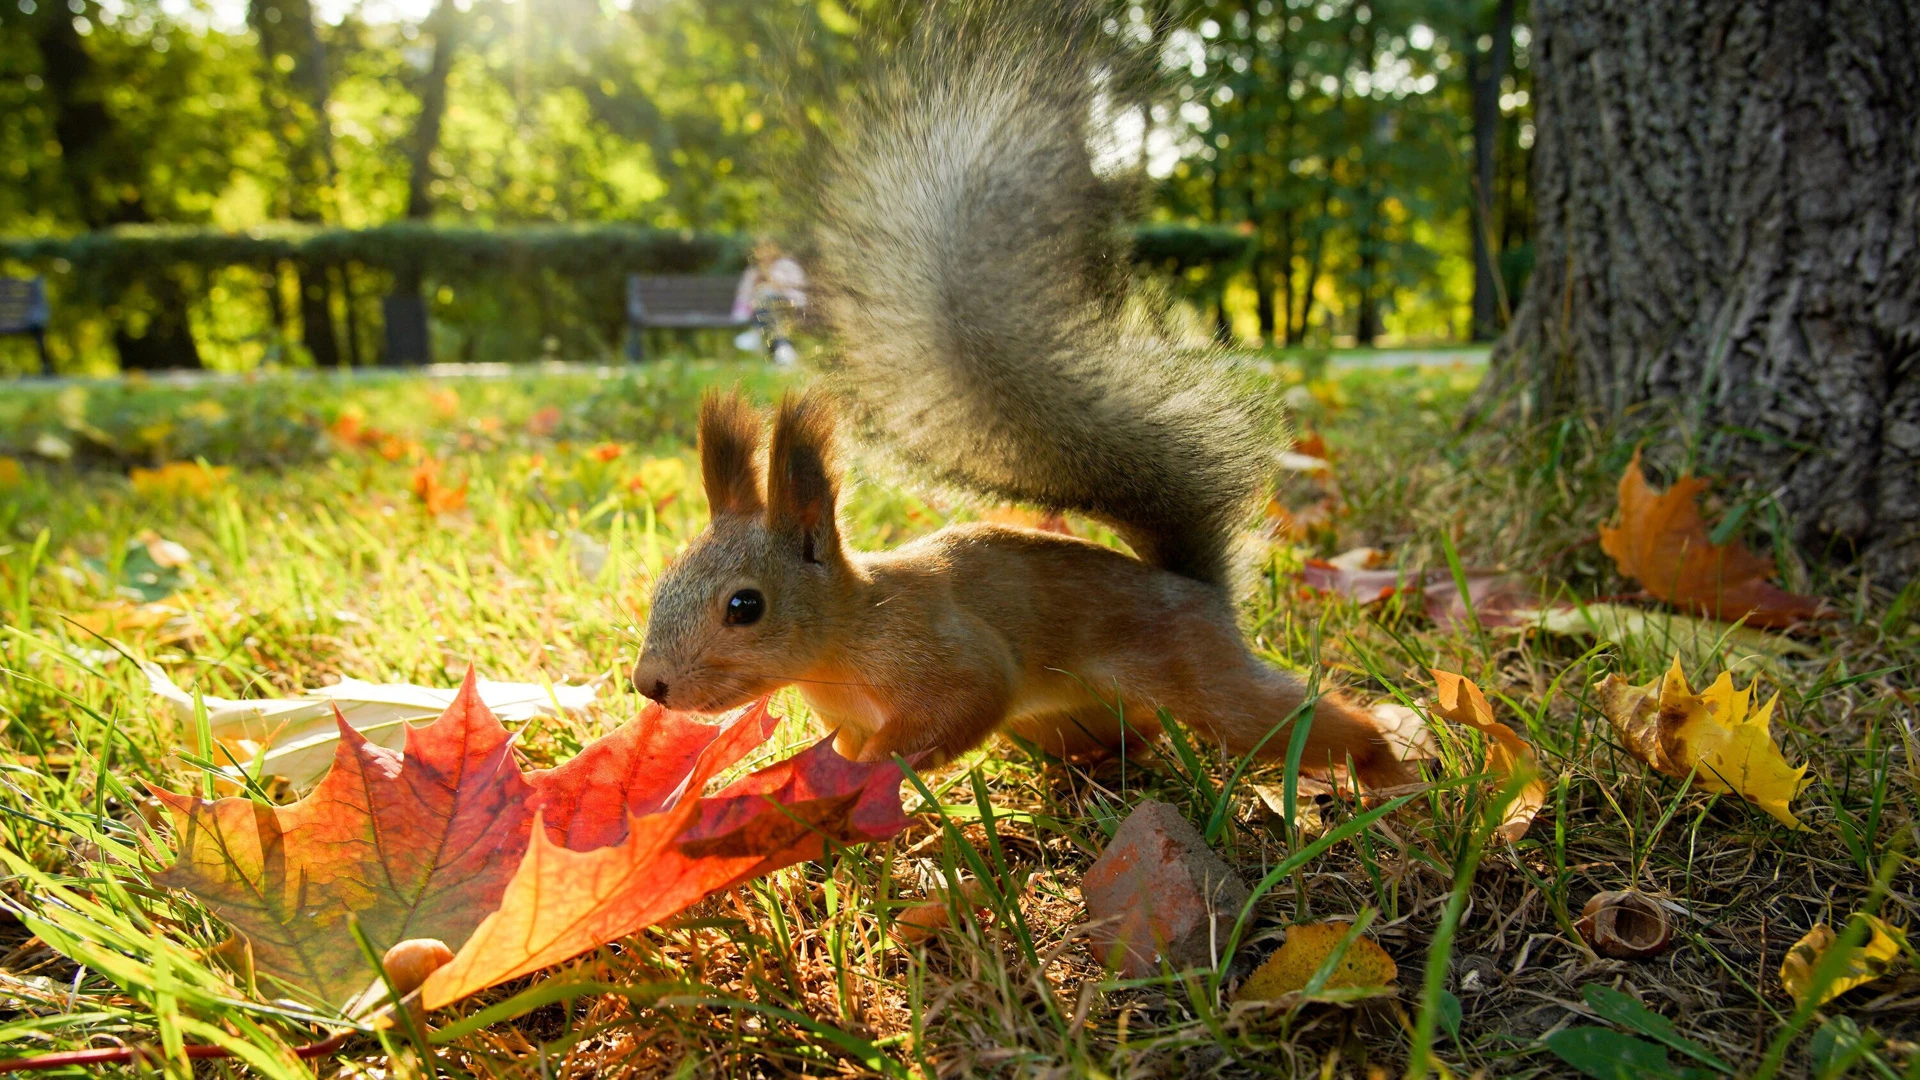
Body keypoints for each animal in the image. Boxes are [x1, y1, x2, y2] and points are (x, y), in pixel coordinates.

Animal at [629, 4, 1413, 787]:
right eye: (665, 577)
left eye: (745, 606)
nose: (649, 684)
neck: (846, 637)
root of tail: (1198, 592)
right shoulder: (845, 721)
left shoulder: (947, 653)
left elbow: (965, 701)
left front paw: (878, 773)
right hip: (1063, 720)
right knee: (1135, 735)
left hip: (1203, 677)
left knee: (1286, 717)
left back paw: (1387, 771)